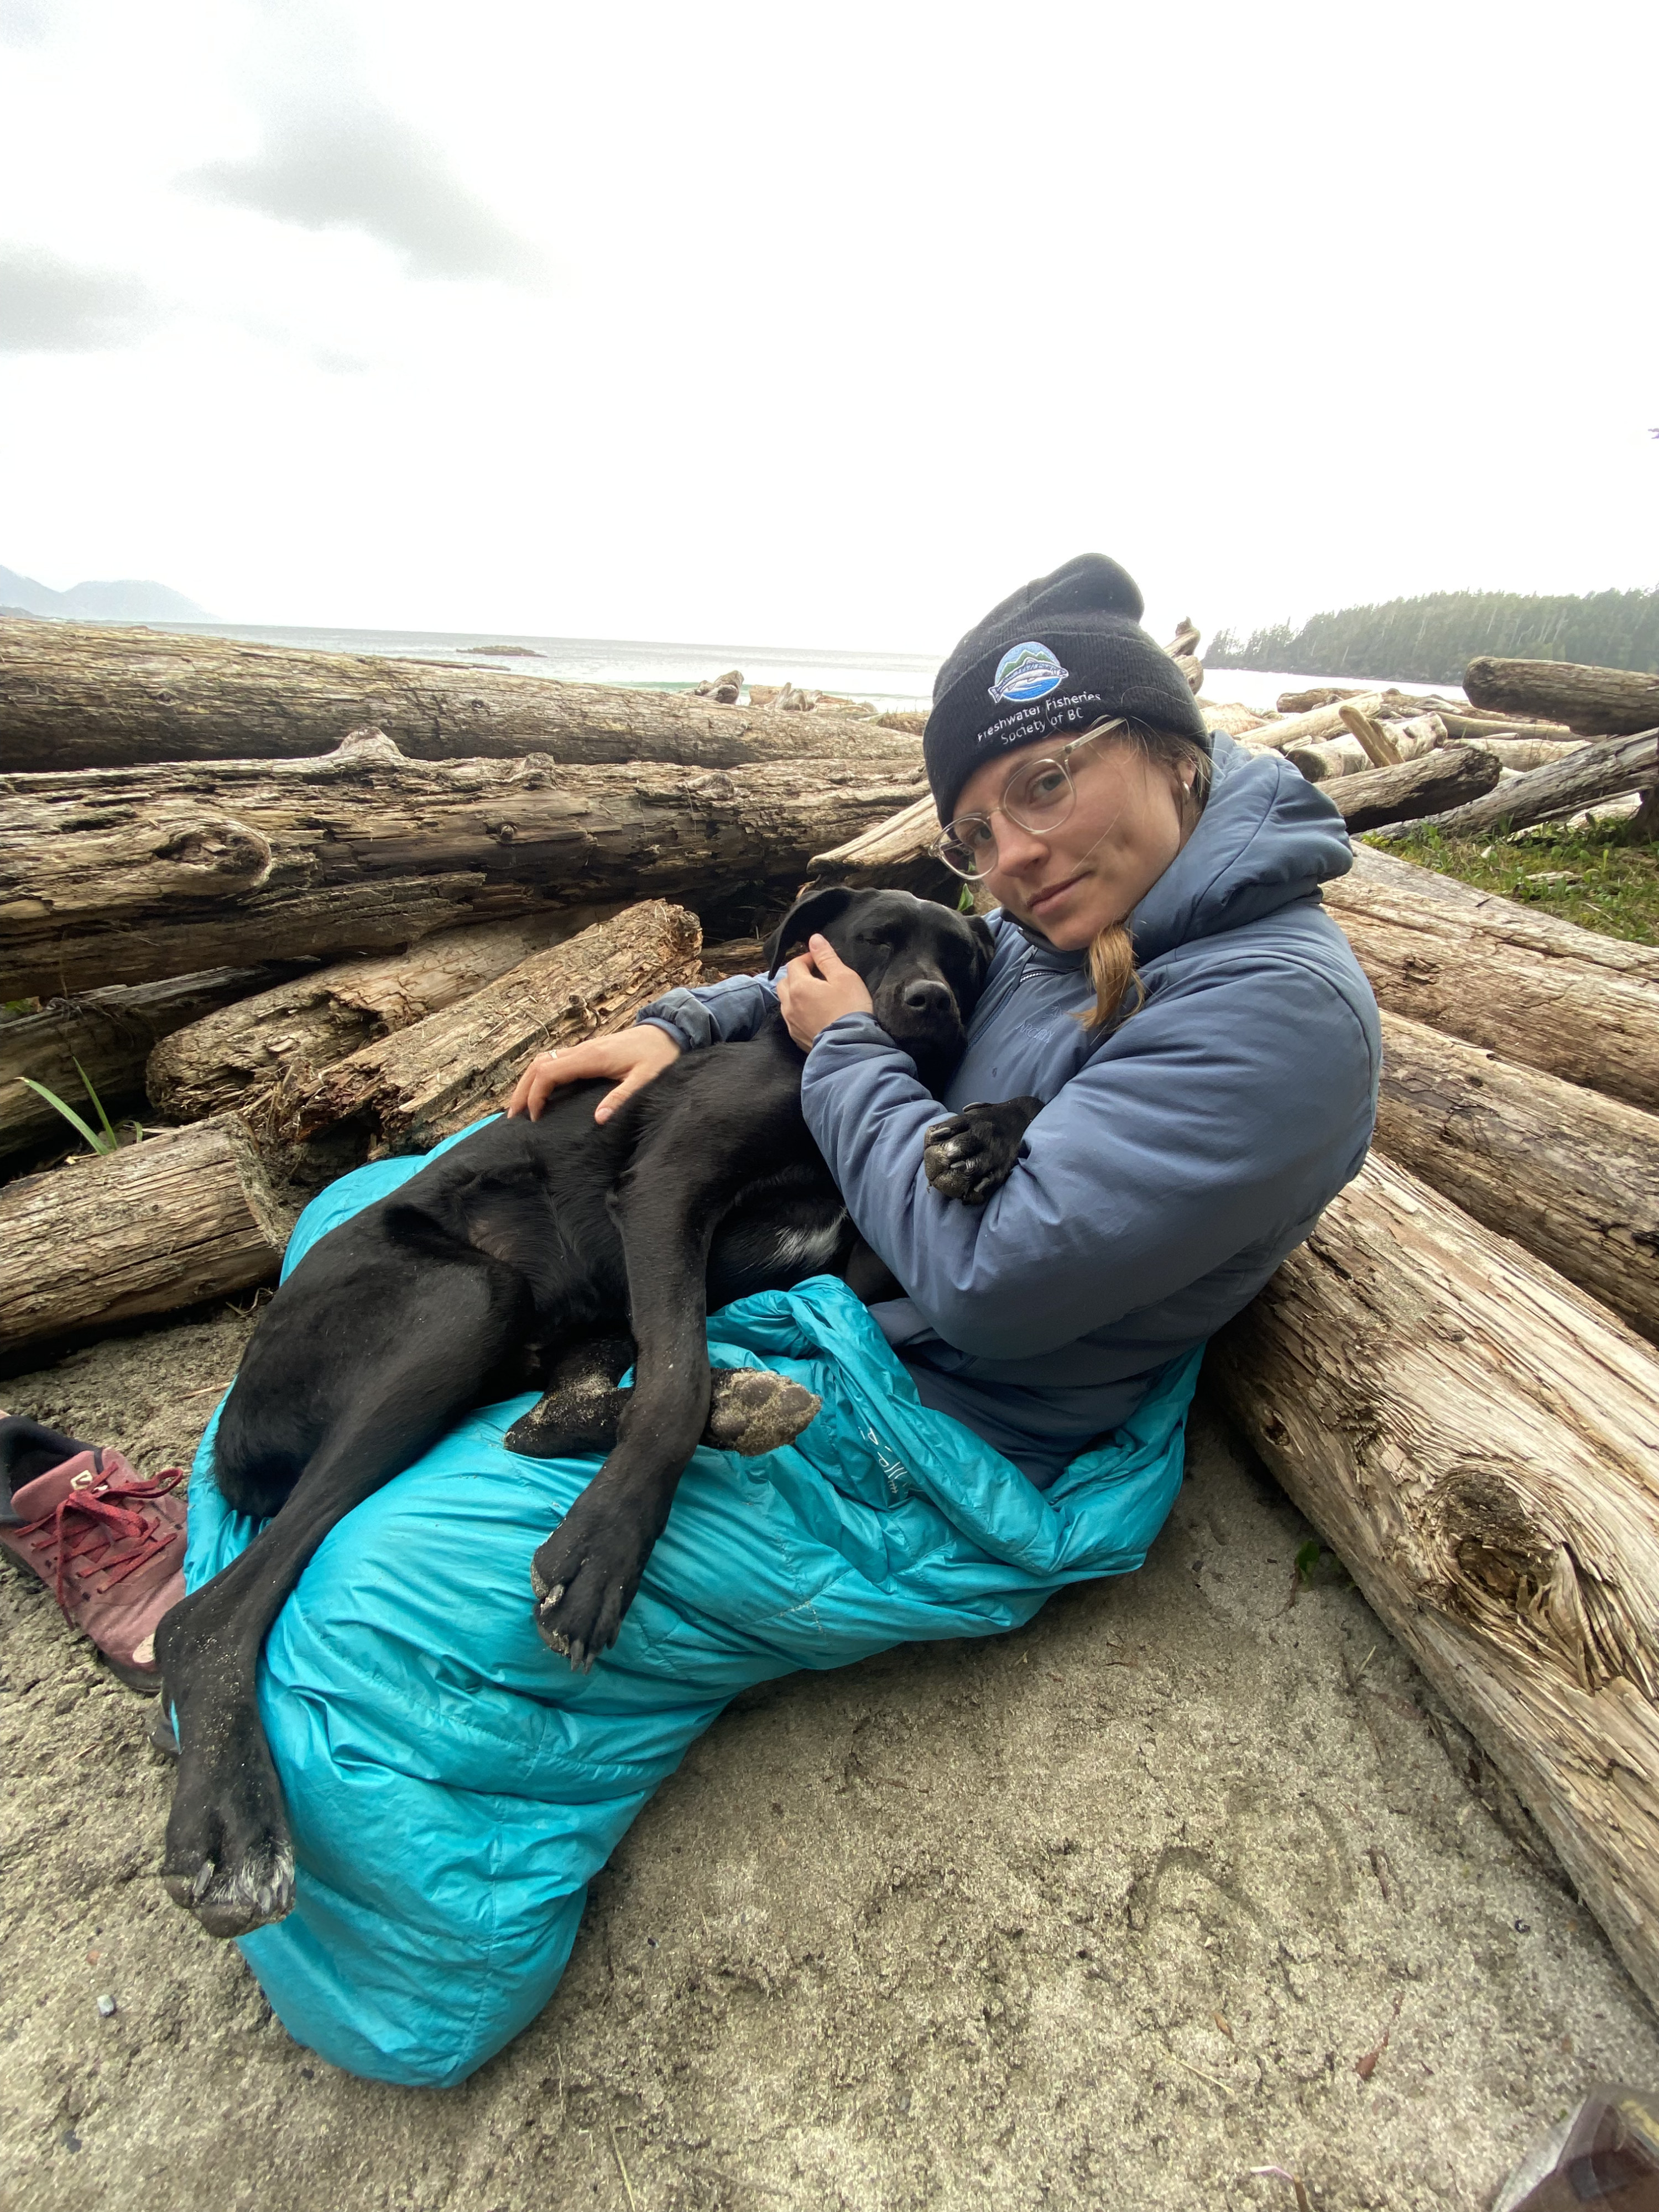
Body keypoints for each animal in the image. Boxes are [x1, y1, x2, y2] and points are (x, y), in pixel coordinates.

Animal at [154, 885, 1044, 1939]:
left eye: (964, 959)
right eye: (876, 940)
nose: (930, 1004)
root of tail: (234, 1428)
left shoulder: (861, 1261)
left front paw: (987, 1131)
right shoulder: (666, 1193)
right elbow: (674, 1384)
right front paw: (606, 1555)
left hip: (566, 1320)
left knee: (537, 1421)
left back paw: (741, 1402)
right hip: (466, 1299)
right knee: (208, 1616)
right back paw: (230, 1827)